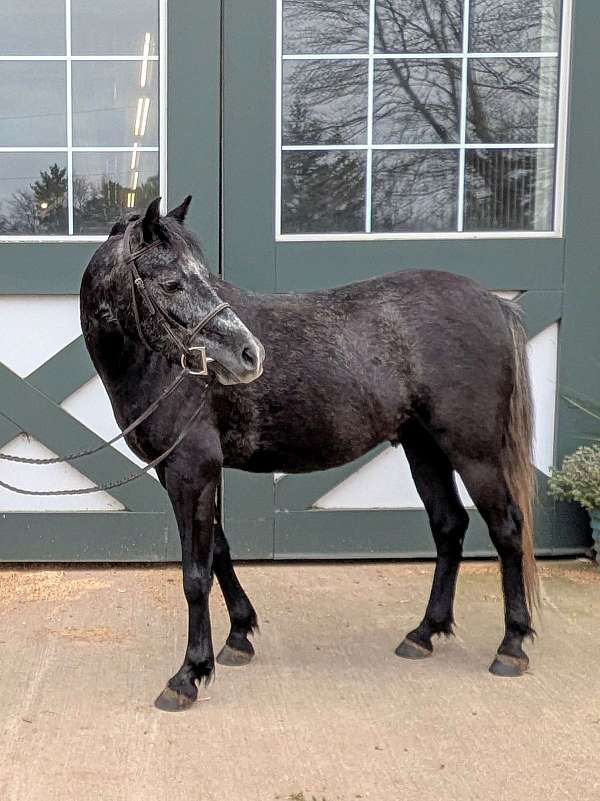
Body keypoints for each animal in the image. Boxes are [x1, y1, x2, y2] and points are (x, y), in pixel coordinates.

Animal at [81, 197, 540, 708]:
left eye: (201, 275)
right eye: (170, 282)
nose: (249, 354)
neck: (157, 366)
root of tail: (494, 303)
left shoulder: (191, 471)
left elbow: (195, 573)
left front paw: (189, 674)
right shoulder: (185, 473)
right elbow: (218, 550)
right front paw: (239, 635)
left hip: (474, 451)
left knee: (506, 528)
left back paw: (511, 646)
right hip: (424, 447)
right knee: (449, 525)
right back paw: (424, 633)